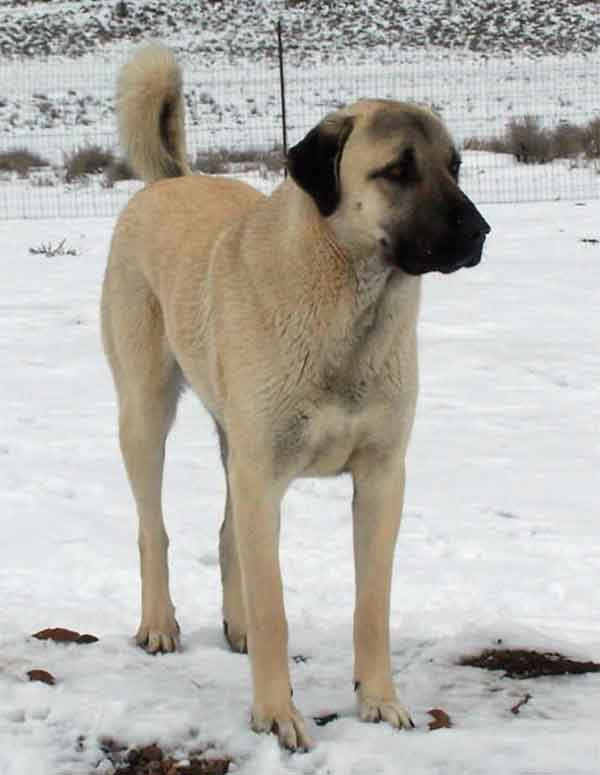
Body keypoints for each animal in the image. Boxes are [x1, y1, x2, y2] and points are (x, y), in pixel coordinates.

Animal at [101, 44, 490, 752]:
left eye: (454, 166)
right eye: (397, 170)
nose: (480, 232)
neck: (352, 311)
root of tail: (169, 181)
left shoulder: (380, 477)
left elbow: (371, 604)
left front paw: (381, 701)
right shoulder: (264, 475)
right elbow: (275, 607)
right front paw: (277, 714)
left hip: (233, 441)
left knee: (227, 537)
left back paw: (236, 628)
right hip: (146, 415)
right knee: (153, 530)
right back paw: (161, 625)